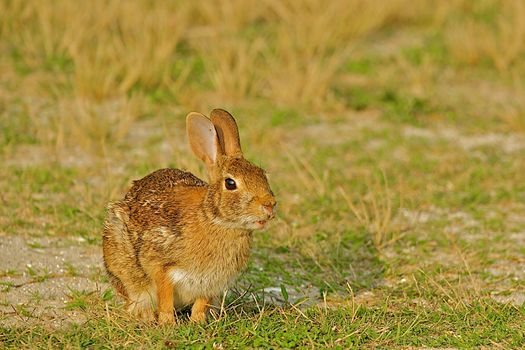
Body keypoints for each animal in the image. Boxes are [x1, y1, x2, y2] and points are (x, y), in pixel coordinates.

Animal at [100, 108, 276, 324]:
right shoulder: (161, 265)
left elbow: (201, 303)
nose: (270, 205)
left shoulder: (211, 284)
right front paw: (168, 323)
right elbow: (165, 296)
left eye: (262, 174)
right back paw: (146, 315)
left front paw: (198, 322)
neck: (214, 219)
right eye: (230, 183)